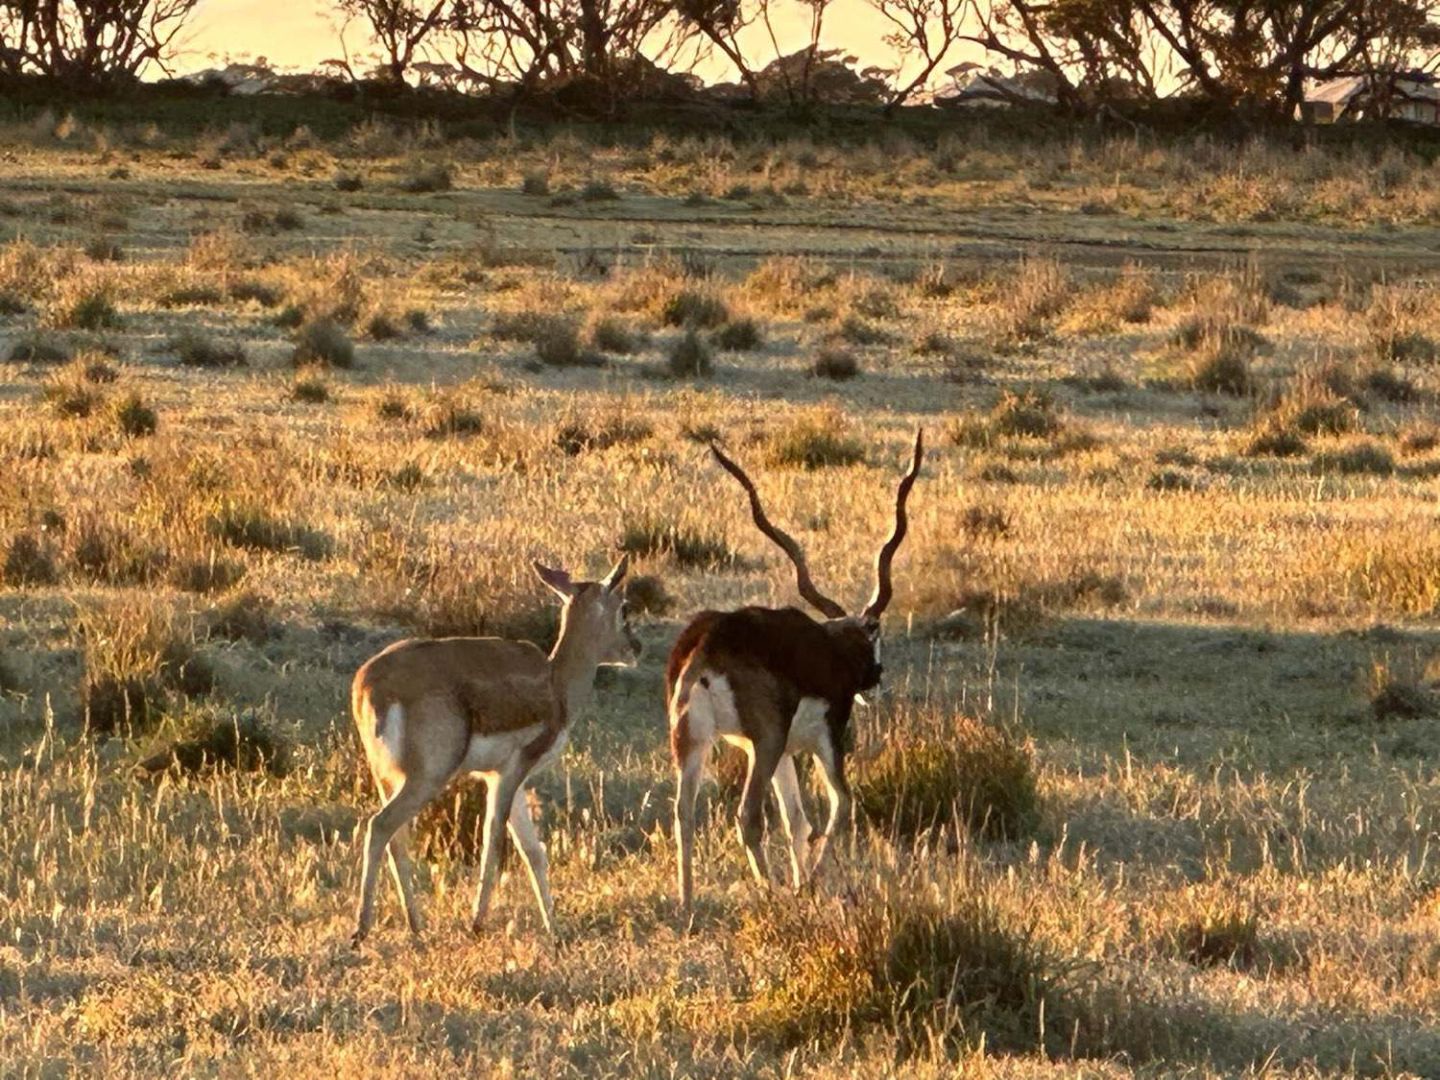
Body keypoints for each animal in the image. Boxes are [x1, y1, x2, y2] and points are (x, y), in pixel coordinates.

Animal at [350, 556, 639, 946]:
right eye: (623, 607)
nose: (636, 647)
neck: (557, 686)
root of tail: (370, 684)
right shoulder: (512, 772)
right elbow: (494, 841)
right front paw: (477, 922)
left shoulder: (501, 778)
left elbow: (534, 851)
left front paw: (554, 928)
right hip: (428, 778)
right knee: (380, 825)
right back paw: (362, 929)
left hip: (387, 778)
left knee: (396, 837)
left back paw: (415, 924)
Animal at [667, 431, 924, 914]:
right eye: (877, 636)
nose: (875, 678)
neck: (834, 648)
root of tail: (707, 644)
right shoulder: (826, 737)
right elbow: (841, 804)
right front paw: (809, 884)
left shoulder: (785, 752)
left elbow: (796, 821)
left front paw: (804, 882)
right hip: (763, 743)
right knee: (747, 814)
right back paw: (769, 892)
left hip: (695, 741)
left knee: (683, 812)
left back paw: (688, 904)